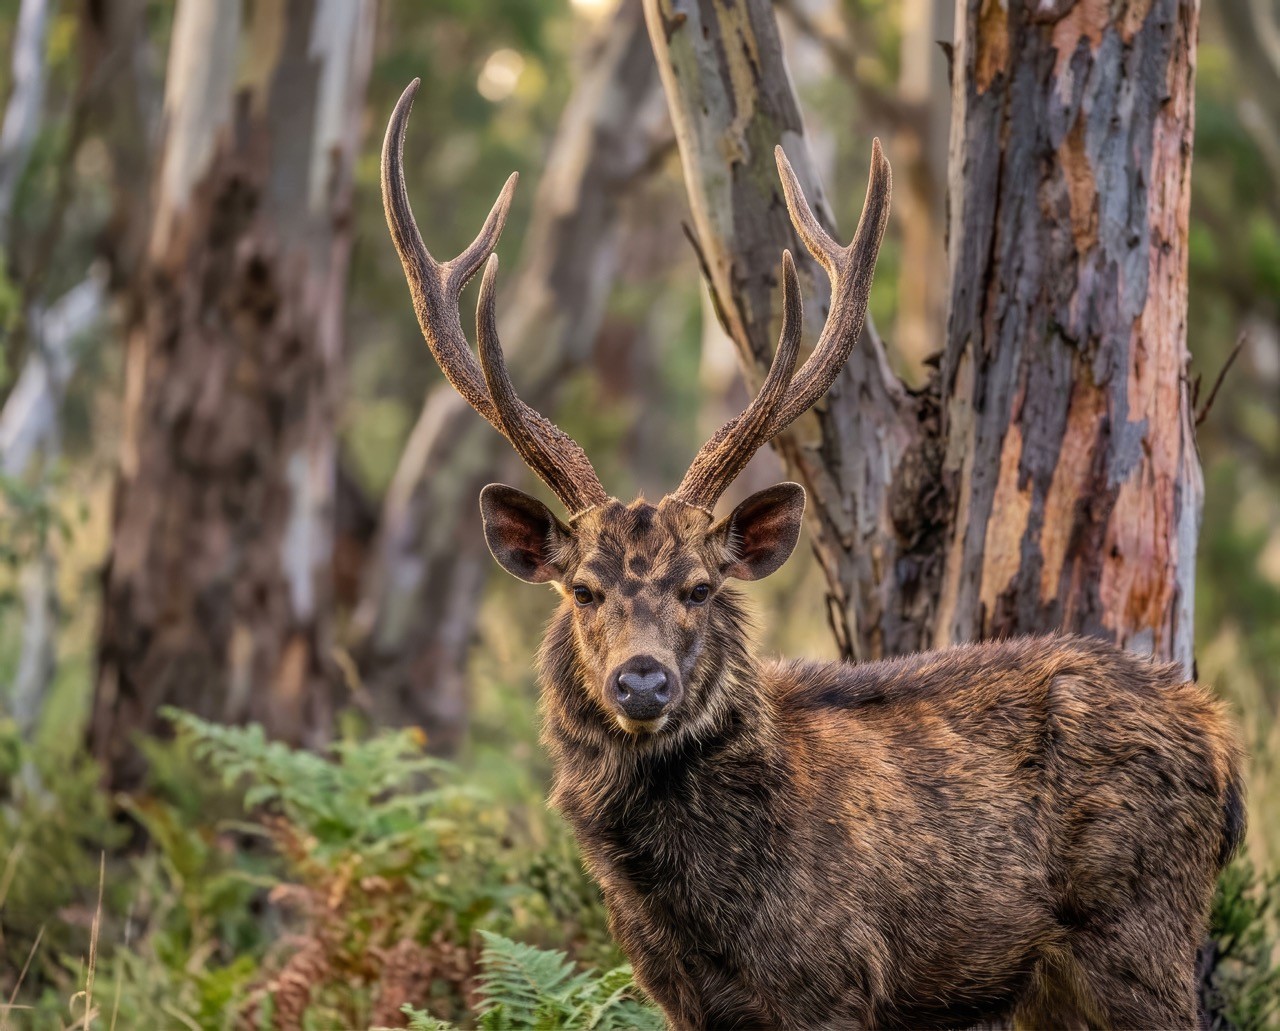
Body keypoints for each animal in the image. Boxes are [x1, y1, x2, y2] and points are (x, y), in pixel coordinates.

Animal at [381, 78, 1245, 1030]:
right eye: (582, 588)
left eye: (699, 586)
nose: (642, 681)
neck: (703, 908)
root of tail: (1222, 744)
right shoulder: (679, 996)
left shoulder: (834, 980)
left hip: (1141, 935)